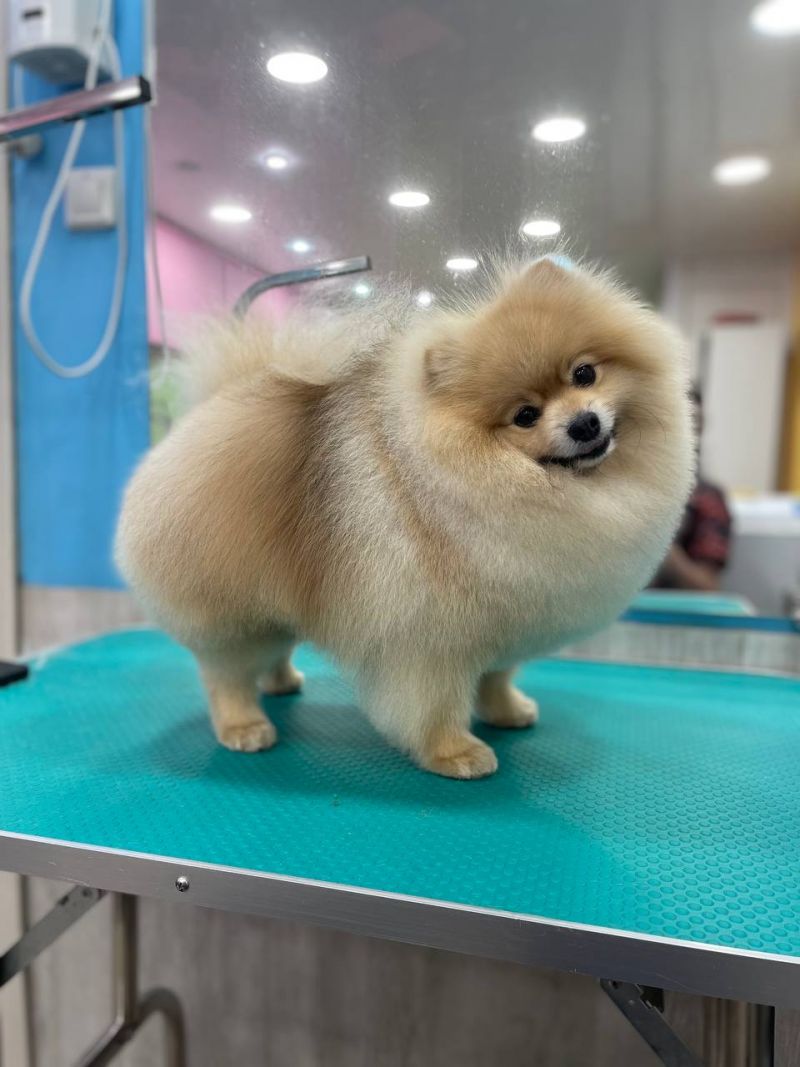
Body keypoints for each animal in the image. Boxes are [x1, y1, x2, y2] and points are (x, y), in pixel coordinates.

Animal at [116, 257, 693, 778]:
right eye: (525, 416)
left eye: (584, 373)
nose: (584, 423)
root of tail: (210, 408)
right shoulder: (428, 640)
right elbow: (434, 704)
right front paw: (454, 754)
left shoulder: (505, 624)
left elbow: (496, 678)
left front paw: (508, 712)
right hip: (234, 616)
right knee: (227, 675)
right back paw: (245, 726)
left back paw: (283, 682)